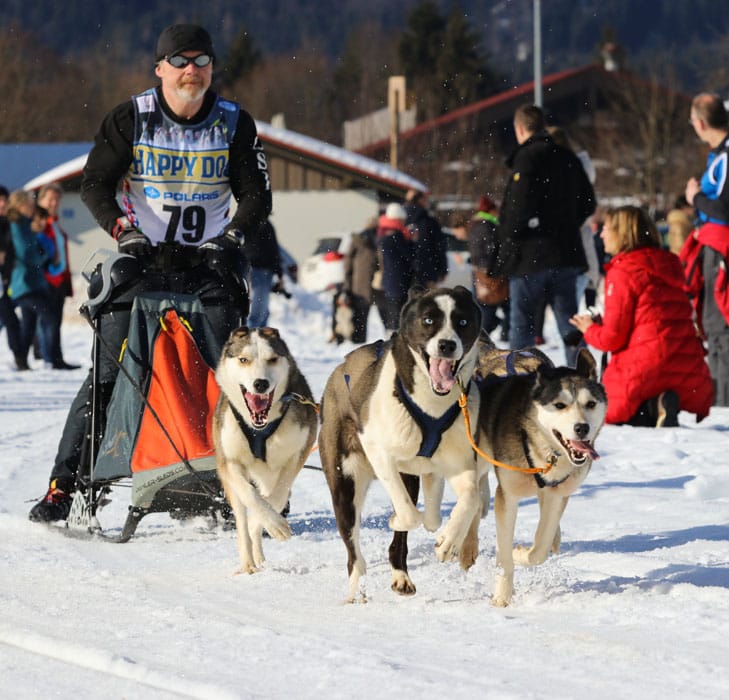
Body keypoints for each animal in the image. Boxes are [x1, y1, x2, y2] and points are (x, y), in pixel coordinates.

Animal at [212, 328, 318, 576]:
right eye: (244, 360)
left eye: (272, 359)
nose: (260, 383)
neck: (259, 428)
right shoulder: (229, 461)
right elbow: (250, 495)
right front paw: (271, 523)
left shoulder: (297, 454)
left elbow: (277, 498)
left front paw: (272, 524)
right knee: (242, 516)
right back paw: (248, 563)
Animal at [318, 286, 484, 600]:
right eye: (428, 320)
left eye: (463, 322)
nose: (447, 345)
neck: (431, 405)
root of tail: (339, 369)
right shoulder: (380, 453)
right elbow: (408, 515)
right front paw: (398, 519)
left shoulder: (455, 463)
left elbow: (459, 503)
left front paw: (448, 540)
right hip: (344, 482)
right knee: (353, 551)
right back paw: (356, 591)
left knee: (400, 543)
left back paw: (401, 577)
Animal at [478, 350, 608, 608]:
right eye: (559, 405)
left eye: (590, 403)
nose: (582, 428)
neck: (547, 451)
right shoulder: (508, 495)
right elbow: (504, 556)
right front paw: (502, 596)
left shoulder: (556, 494)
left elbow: (540, 546)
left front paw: (521, 552)